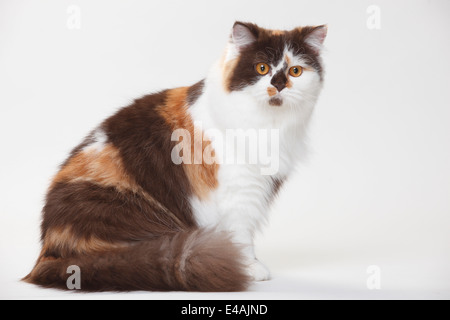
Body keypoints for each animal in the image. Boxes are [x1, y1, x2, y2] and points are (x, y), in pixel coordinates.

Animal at [23, 21, 326, 292]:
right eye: (262, 68)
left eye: (295, 71)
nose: (279, 85)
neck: (269, 125)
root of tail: (46, 254)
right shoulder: (238, 194)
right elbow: (241, 235)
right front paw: (250, 267)